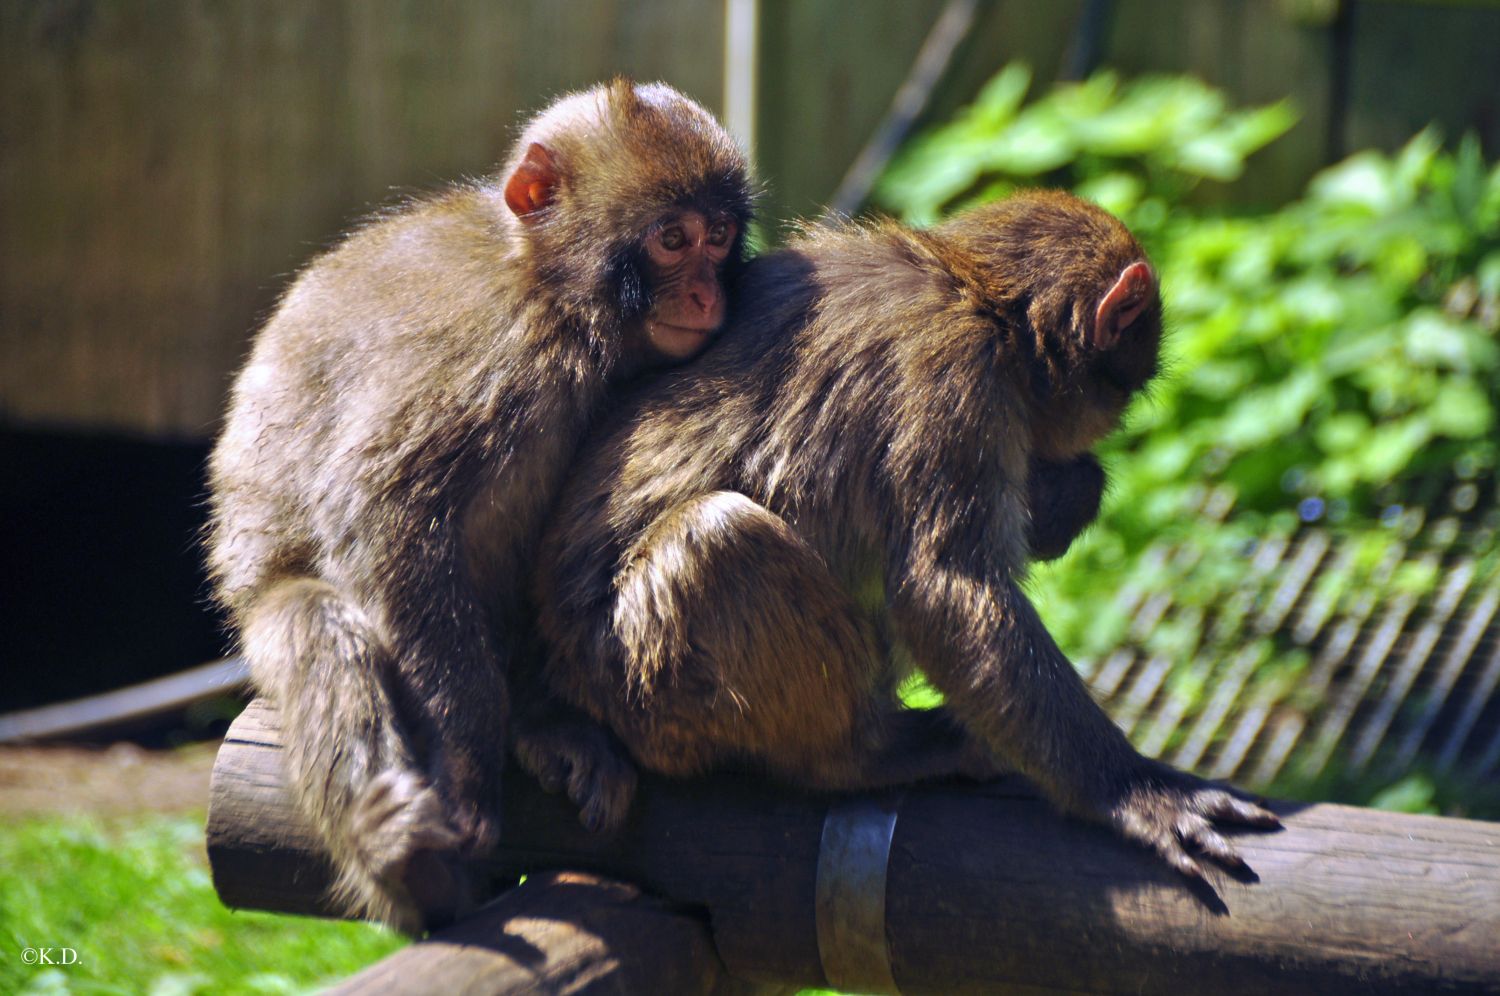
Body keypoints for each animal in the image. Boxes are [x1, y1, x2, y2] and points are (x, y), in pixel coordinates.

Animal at [205, 79, 756, 936]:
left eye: (720, 237)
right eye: (673, 239)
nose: (707, 293)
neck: (554, 297)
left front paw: (544, 718)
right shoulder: (488, 349)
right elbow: (386, 514)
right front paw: (466, 763)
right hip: (259, 604)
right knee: (319, 630)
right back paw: (409, 868)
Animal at [522, 189, 1284, 882]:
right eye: (1127, 390)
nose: (1106, 426)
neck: (971, 290)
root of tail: (562, 680)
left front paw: (1069, 489)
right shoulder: (957, 373)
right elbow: (947, 588)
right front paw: (1128, 789)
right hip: (643, 691)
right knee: (722, 539)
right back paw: (857, 756)